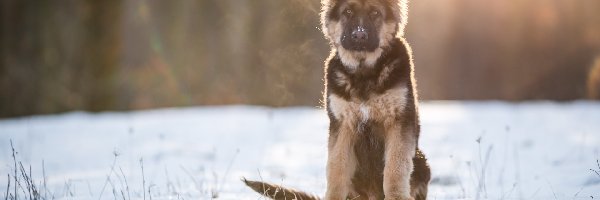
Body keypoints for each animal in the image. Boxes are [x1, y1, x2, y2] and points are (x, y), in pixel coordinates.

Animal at [241, 0, 428, 199]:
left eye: (375, 13)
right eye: (348, 11)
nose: (359, 35)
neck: (363, 73)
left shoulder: (398, 121)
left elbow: (395, 167)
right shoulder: (343, 124)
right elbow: (337, 168)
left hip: (422, 162)